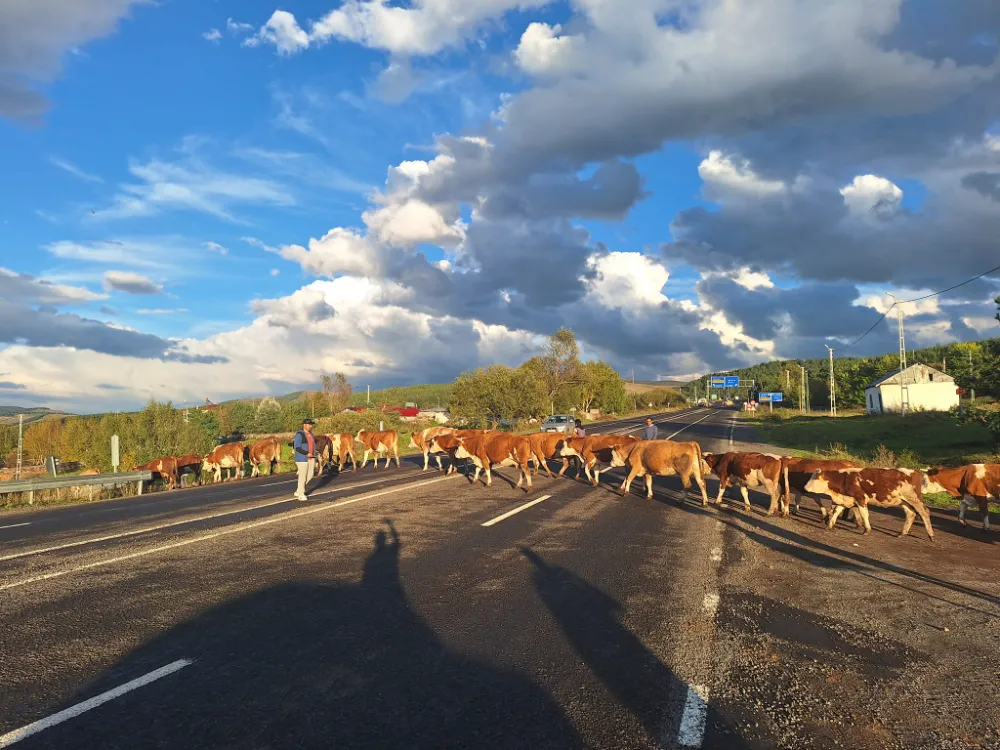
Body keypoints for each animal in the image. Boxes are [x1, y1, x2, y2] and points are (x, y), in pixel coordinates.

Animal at [800, 470, 932, 540]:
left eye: (814, 478)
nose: (804, 487)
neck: (845, 479)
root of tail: (915, 472)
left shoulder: (861, 499)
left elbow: (864, 515)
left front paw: (867, 530)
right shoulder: (846, 499)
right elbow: (836, 511)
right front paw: (830, 525)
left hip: (913, 499)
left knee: (924, 512)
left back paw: (930, 535)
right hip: (903, 501)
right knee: (911, 514)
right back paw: (901, 533)